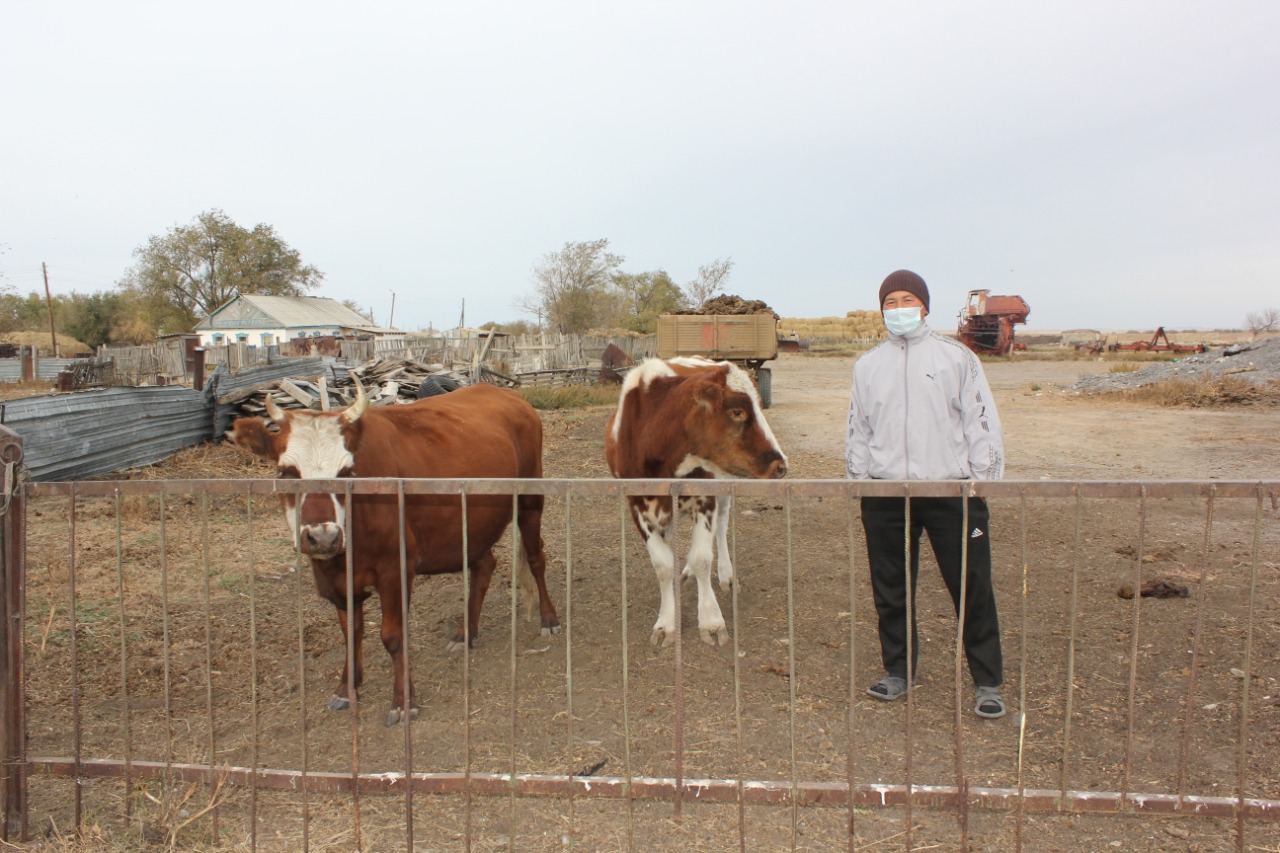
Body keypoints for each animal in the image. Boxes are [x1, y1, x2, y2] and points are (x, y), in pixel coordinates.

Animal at [226, 381, 565, 722]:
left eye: (346, 472)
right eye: (286, 472)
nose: (323, 536)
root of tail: (505, 392)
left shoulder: (395, 569)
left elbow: (393, 636)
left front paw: (403, 701)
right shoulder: (338, 580)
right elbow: (350, 633)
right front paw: (346, 689)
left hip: (530, 497)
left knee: (536, 558)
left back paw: (549, 619)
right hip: (472, 524)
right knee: (484, 566)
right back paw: (465, 633)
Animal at [601, 353, 783, 645]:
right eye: (737, 411)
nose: (780, 465)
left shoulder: (705, 498)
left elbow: (702, 558)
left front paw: (711, 621)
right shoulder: (636, 504)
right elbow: (663, 564)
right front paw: (667, 622)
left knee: (721, 525)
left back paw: (725, 575)